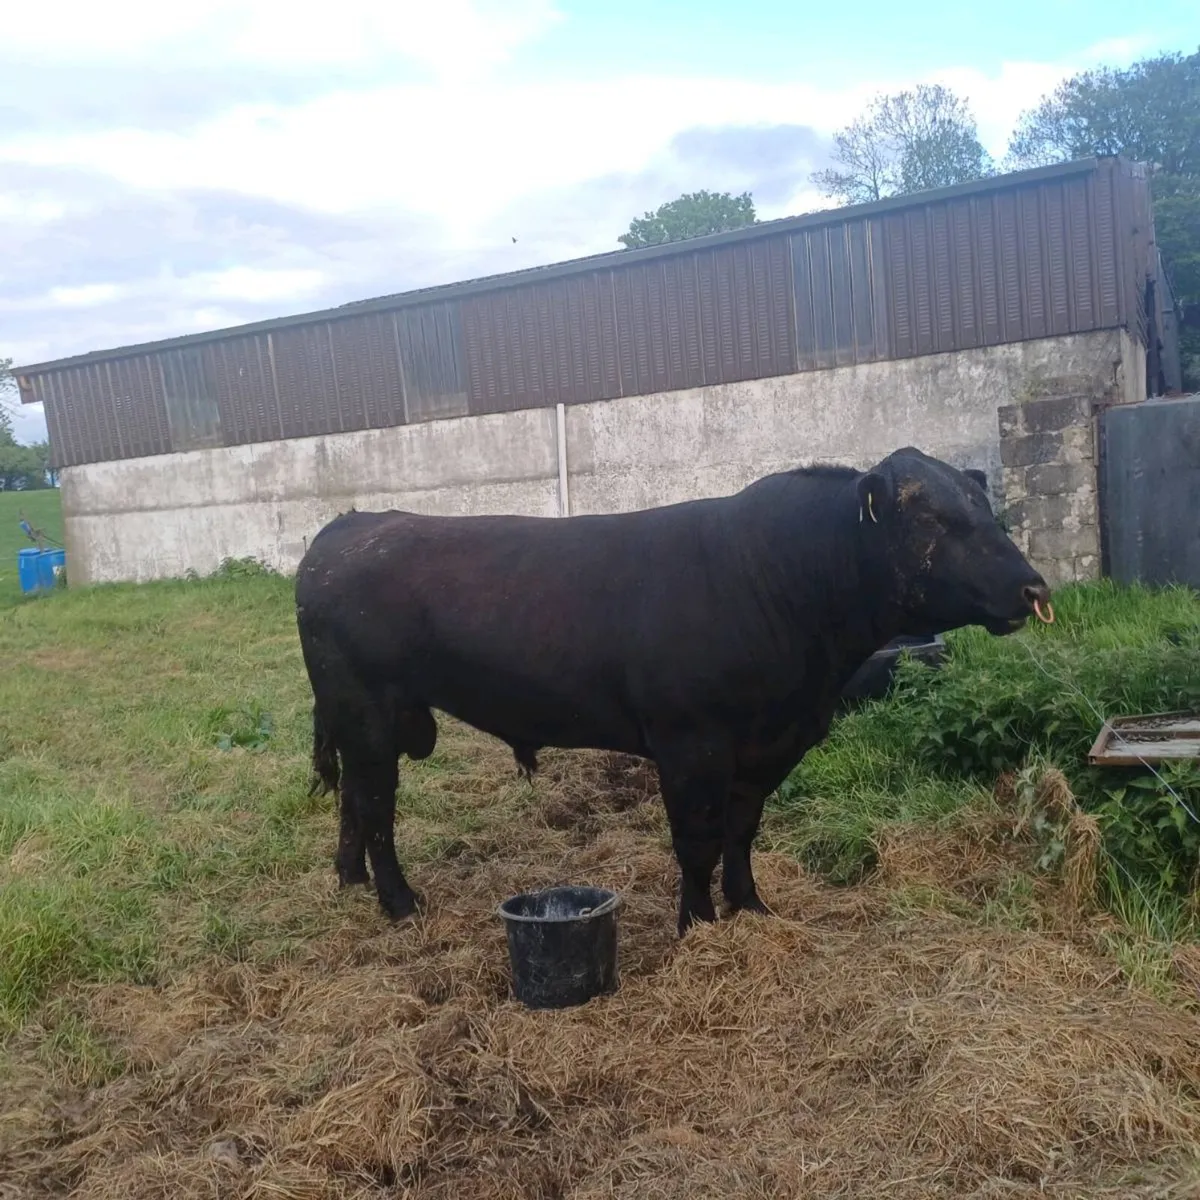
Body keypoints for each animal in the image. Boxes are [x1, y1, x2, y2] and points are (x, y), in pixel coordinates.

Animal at [294, 446, 1052, 937]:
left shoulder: (770, 744)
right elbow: (696, 840)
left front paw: (750, 909)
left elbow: (741, 832)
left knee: (355, 801)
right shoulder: (692, 743)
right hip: (367, 710)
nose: (1034, 588)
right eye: (932, 521)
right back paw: (399, 902)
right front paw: (696, 925)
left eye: (988, 510)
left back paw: (351, 881)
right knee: (376, 804)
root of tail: (347, 526)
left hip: (363, 717)